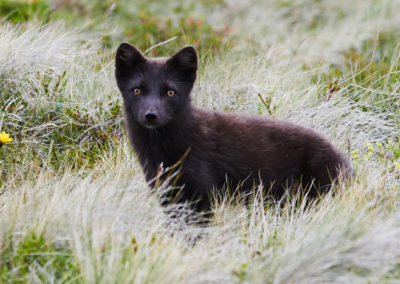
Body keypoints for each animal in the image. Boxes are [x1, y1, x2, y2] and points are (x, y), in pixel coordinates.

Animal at [115, 43, 350, 212]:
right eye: (137, 90)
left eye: (170, 92)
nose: (151, 115)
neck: (161, 151)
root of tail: (347, 164)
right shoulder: (167, 195)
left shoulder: (200, 195)